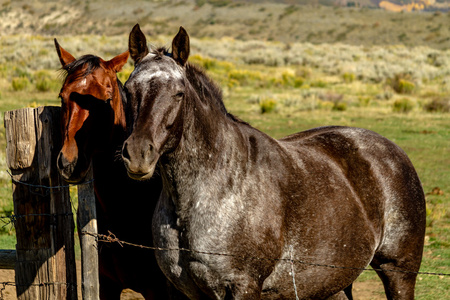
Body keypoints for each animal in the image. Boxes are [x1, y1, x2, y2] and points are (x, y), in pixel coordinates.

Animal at [121, 24, 428, 298]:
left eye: (179, 93)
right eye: (128, 90)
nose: (137, 154)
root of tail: (391, 150)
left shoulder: (244, 286)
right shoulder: (184, 291)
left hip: (398, 273)